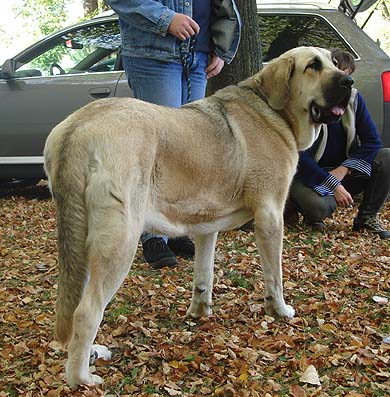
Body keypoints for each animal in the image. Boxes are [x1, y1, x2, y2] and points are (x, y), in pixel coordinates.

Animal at [43, 46, 354, 386]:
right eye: (313, 66)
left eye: (333, 62)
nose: (349, 82)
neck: (272, 111)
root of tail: (78, 128)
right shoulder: (270, 217)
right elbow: (275, 276)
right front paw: (280, 310)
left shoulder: (207, 227)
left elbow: (204, 274)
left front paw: (199, 311)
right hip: (119, 242)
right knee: (87, 311)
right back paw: (81, 378)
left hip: (84, 245)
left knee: (76, 304)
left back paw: (91, 353)